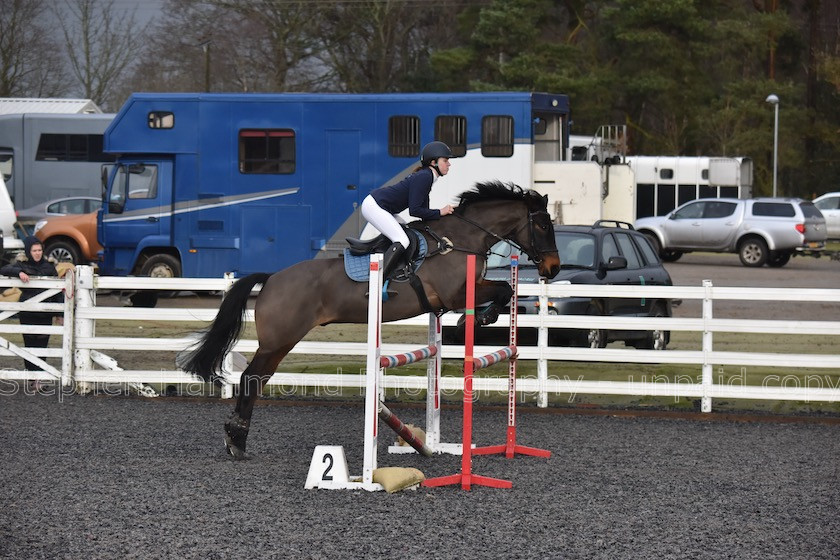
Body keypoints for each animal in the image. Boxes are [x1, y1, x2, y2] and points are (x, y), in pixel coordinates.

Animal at [177, 182, 556, 458]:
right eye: (541, 225)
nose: (553, 269)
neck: (460, 241)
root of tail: (271, 278)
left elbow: (506, 288)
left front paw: (480, 318)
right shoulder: (454, 294)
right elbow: (504, 289)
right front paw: (476, 320)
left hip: (280, 342)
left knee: (256, 379)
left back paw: (237, 439)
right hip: (279, 340)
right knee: (251, 378)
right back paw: (236, 440)